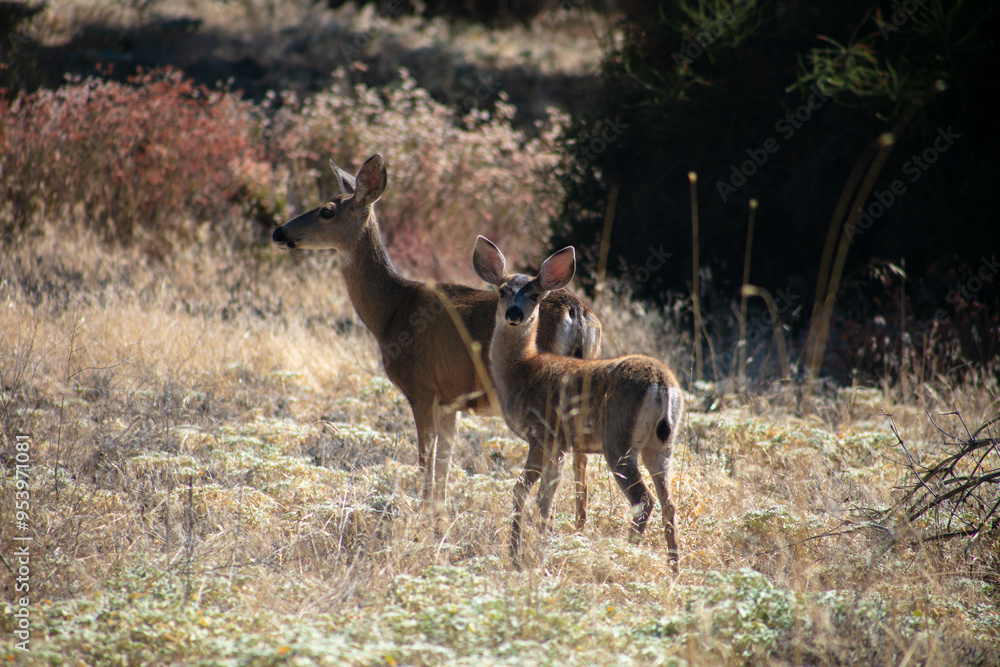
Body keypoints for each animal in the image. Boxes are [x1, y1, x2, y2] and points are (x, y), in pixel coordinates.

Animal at [271, 154, 602, 525]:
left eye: (326, 211)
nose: (279, 231)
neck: (391, 310)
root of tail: (578, 313)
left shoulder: (422, 388)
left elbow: (425, 464)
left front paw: (423, 522)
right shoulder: (451, 399)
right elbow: (444, 466)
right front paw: (438, 520)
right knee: (581, 463)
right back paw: (577, 527)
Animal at [472, 235, 683, 570]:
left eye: (534, 295)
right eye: (502, 290)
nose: (514, 314)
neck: (522, 369)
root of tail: (662, 383)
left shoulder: (543, 434)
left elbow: (526, 492)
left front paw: (519, 553)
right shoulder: (561, 444)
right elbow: (544, 497)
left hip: (618, 440)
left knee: (643, 500)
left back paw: (626, 554)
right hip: (662, 445)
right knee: (669, 503)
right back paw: (673, 567)